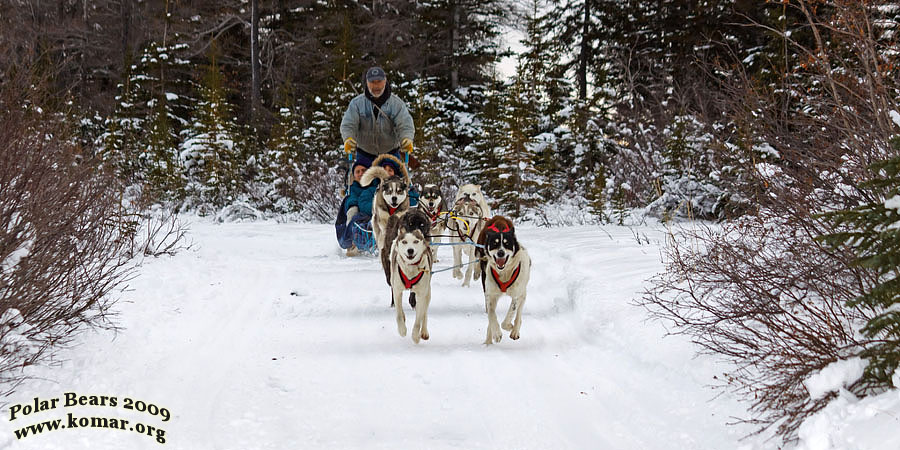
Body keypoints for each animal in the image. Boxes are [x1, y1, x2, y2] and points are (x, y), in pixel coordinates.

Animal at [382, 209, 434, 342]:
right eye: (404, 242)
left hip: (427, 293)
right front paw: (402, 330)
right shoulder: (397, 291)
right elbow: (399, 314)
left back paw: (424, 332)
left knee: (424, 313)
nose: (410, 250)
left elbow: (418, 319)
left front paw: (415, 336)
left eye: (416, 241)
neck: (410, 268)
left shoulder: (421, 294)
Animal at [474, 215, 532, 344]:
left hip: (523, 294)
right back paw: (488, 341)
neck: (504, 273)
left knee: (518, 315)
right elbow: (491, 315)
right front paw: (496, 333)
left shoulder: (516, 295)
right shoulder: (490, 295)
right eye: (494, 244)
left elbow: (510, 314)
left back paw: (515, 331)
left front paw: (509, 326)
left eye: (507, 244)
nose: (501, 252)